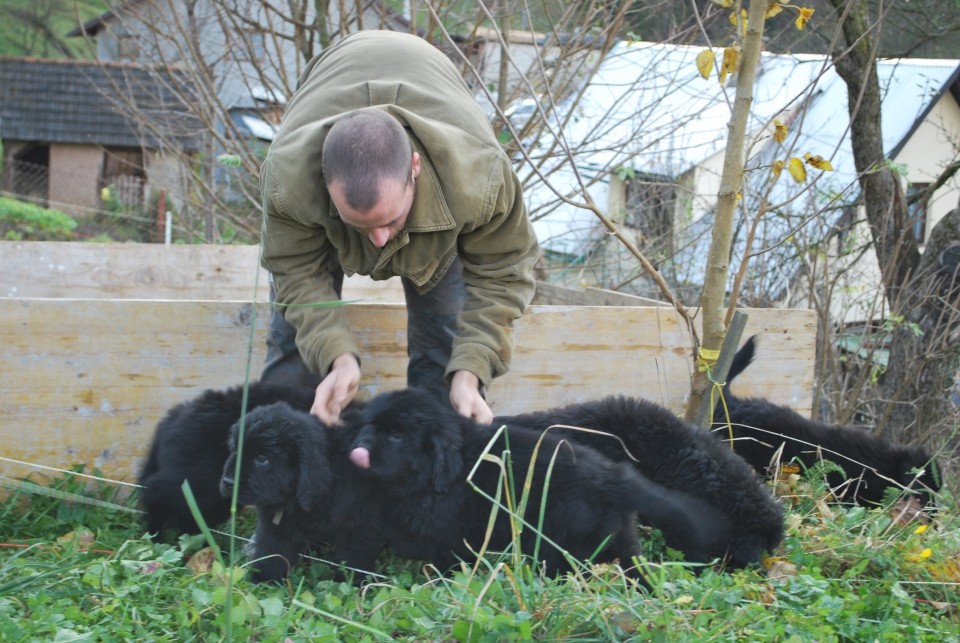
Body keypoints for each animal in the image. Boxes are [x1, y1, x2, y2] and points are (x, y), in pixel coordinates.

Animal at [219, 406, 380, 588]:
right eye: (234, 449)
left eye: (261, 459)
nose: (228, 482)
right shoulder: (275, 525)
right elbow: (272, 552)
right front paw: (264, 580)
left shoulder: (359, 524)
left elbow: (353, 559)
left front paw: (349, 583)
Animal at [348, 390, 732, 580]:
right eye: (368, 426)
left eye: (397, 435)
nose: (358, 450)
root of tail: (613, 475)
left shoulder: (447, 536)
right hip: (616, 535)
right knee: (634, 566)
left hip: (565, 542)